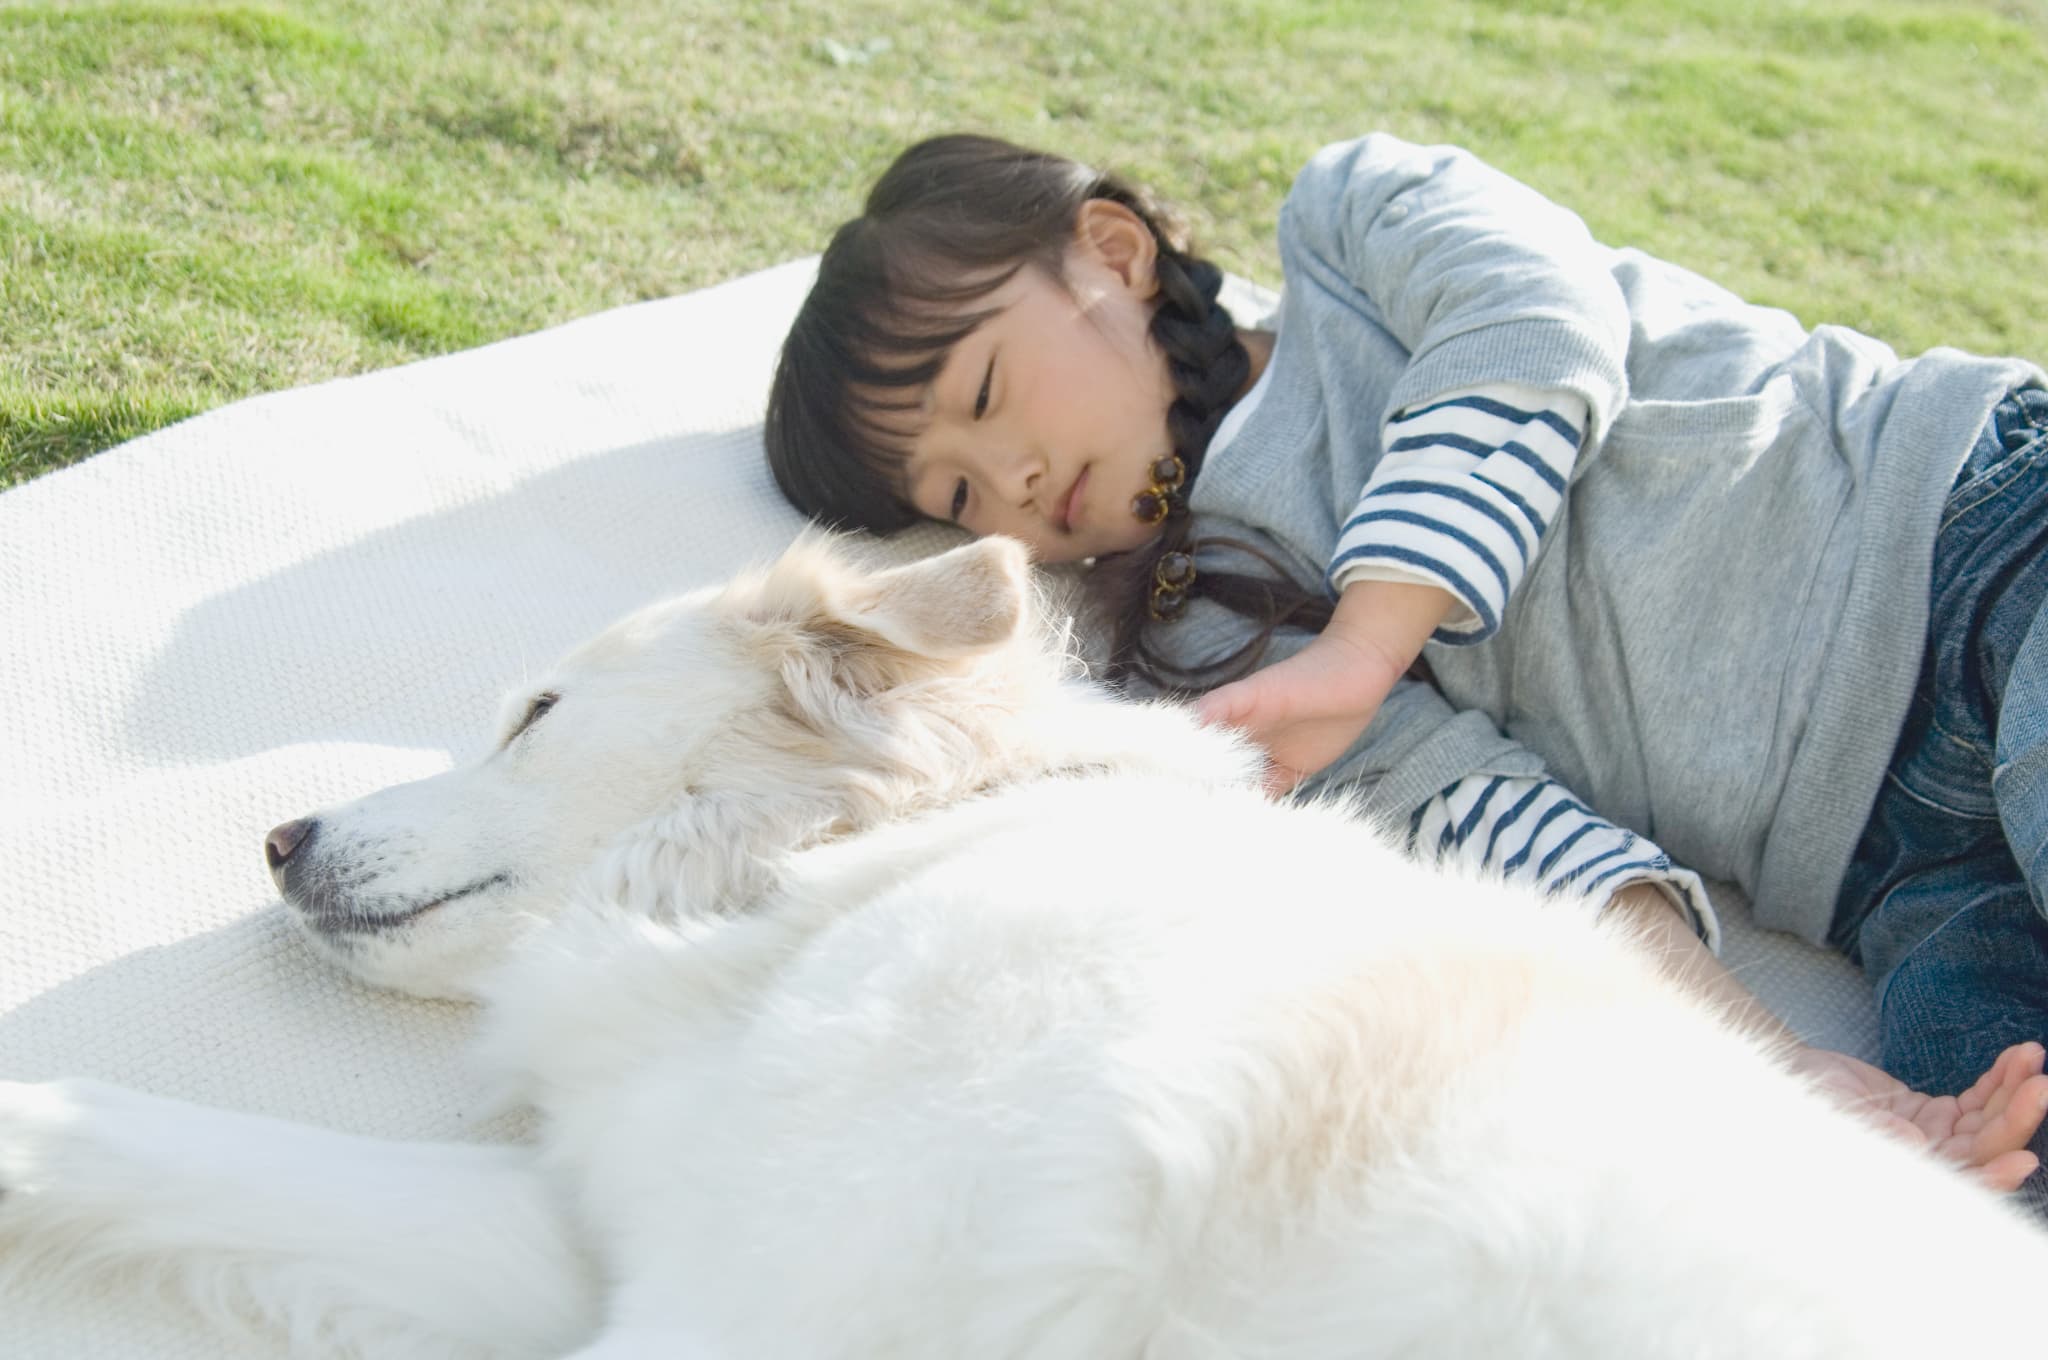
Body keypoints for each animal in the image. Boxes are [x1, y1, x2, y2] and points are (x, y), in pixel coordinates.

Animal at [4, 536, 2048, 1351]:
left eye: (535, 712)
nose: (277, 835)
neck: (872, 862)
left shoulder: (745, 1318)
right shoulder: (624, 1235)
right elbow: (142, 1137)